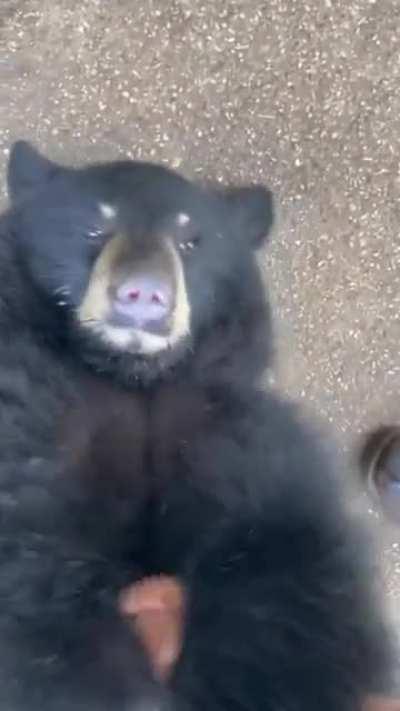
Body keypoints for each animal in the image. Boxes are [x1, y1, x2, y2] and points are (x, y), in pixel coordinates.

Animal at [0, 139, 393, 711]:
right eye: (94, 228)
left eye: (189, 241)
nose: (143, 292)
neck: (135, 378)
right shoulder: (34, 415)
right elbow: (33, 570)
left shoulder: (230, 428)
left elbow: (289, 564)